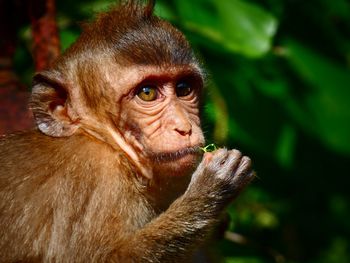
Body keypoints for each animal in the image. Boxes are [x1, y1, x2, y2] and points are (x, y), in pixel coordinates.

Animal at [0, 1, 253, 262]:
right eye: (147, 93)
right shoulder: (97, 175)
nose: (184, 127)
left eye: (183, 88)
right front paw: (211, 191)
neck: (104, 140)